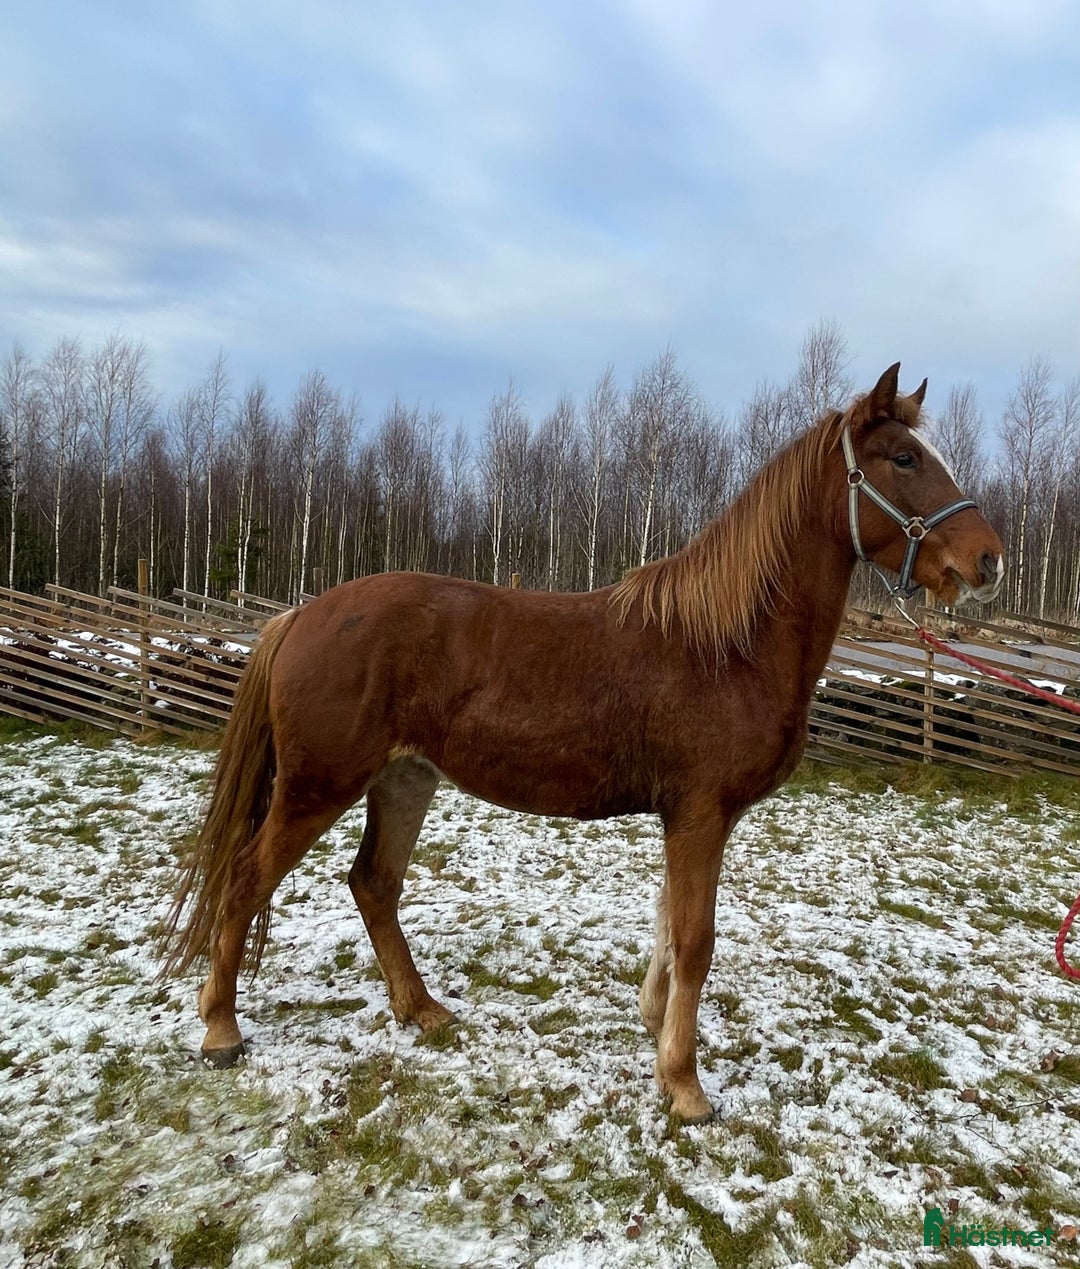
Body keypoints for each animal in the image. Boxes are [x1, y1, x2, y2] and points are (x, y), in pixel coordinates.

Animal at [163, 364, 1004, 1122]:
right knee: (246, 880)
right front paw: (686, 1086)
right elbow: (695, 938)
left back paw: (421, 1009)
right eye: (904, 458)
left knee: (374, 882)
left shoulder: (691, 818)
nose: (988, 558)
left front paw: (654, 1026)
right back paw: (222, 1029)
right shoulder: (699, 814)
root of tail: (298, 615)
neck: (726, 642)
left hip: (405, 778)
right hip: (318, 785)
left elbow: (669, 925)